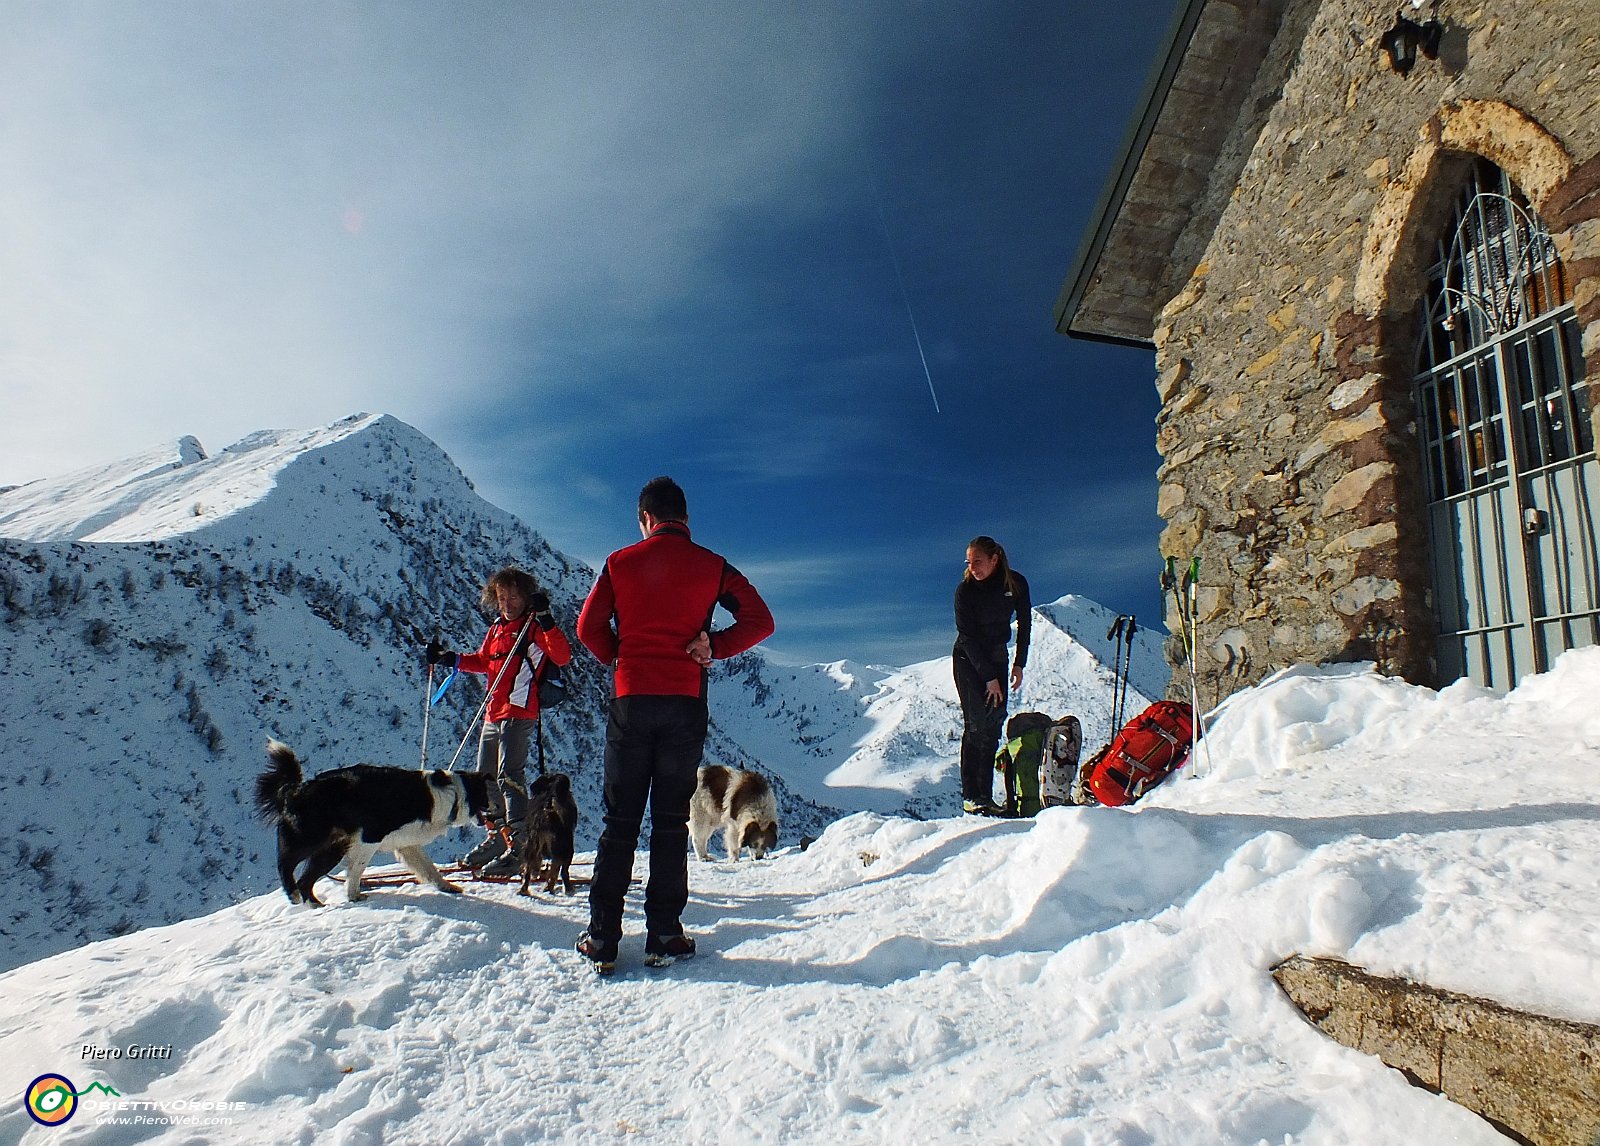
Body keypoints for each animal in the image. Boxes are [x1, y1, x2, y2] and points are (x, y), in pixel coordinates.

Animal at [254, 742, 492, 902]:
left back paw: (314, 905)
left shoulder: (407, 843)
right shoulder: (370, 837)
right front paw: (353, 895)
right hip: (311, 838)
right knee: (285, 862)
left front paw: (447, 887)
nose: (492, 815)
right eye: (486, 796)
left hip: (331, 849)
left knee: (305, 881)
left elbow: (429, 868)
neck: (453, 796)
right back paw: (293, 893)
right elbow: (357, 869)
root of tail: (296, 789)